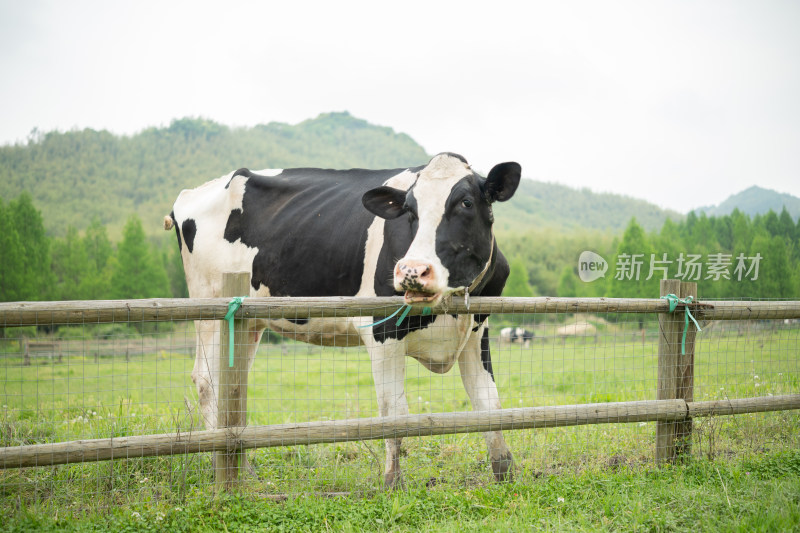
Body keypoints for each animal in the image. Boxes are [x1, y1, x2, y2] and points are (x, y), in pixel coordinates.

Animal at [166, 151, 520, 486]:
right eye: (410, 209)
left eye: (466, 202)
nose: (411, 271)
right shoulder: (382, 330)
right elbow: (394, 412)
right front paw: (393, 482)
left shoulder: (476, 330)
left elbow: (490, 404)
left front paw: (504, 475)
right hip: (210, 308)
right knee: (208, 381)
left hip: (248, 322)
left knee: (233, 381)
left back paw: (242, 467)